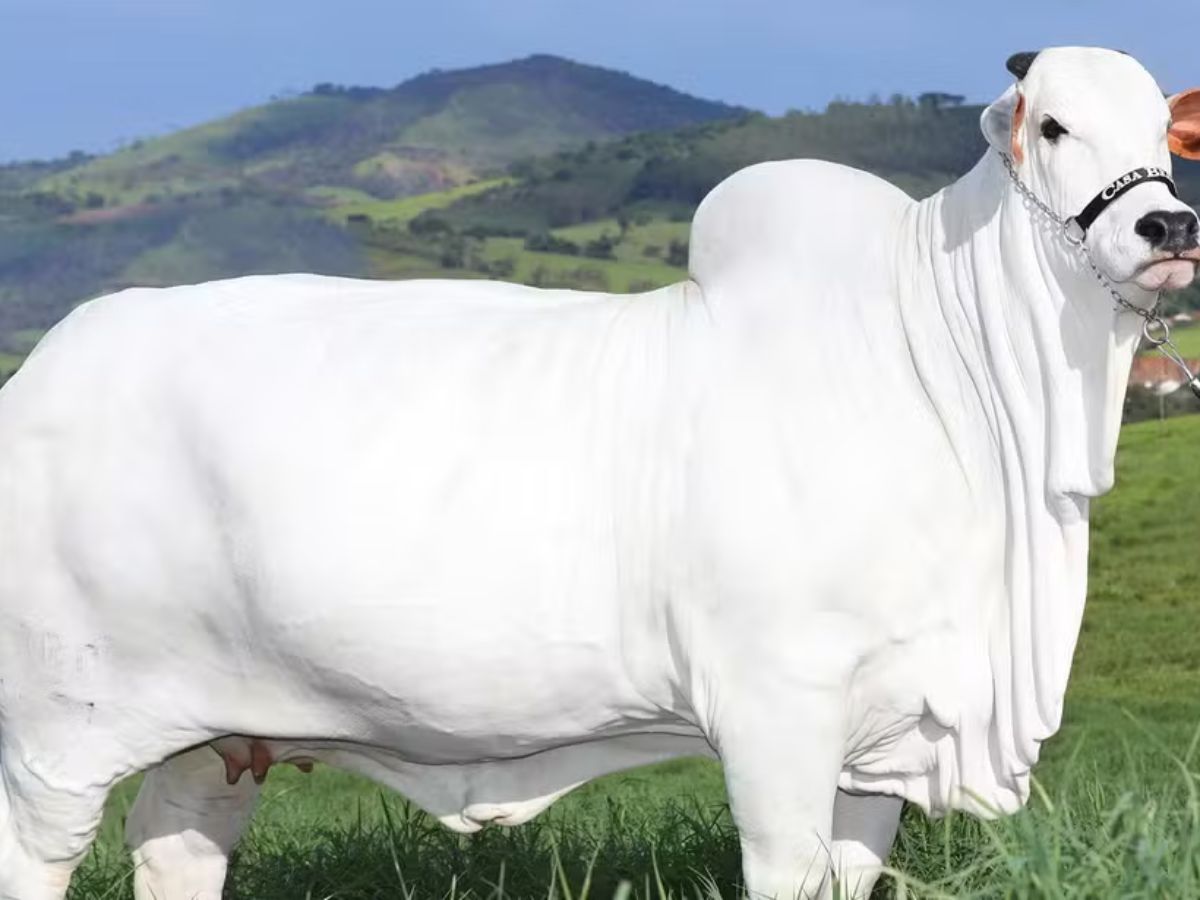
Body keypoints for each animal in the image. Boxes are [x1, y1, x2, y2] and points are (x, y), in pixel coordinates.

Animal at [2, 47, 1200, 900]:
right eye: (1054, 123)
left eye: (1164, 131)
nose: (1168, 224)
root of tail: (45, 370)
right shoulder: (775, 710)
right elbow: (786, 870)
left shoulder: (883, 737)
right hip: (59, 730)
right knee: (39, 858)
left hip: (214, 734)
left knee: (176, 849)